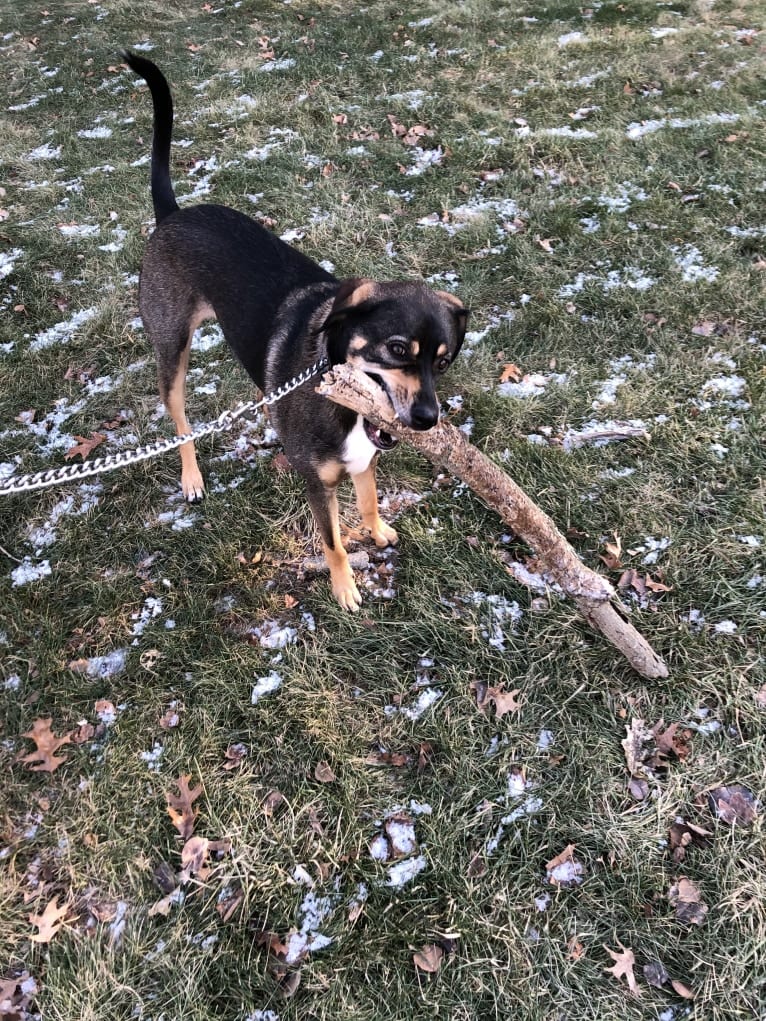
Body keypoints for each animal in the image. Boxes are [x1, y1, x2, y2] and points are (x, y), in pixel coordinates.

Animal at [124, 51, 467, 608]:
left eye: (443, 361)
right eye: (397, 349)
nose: (426, 420)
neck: (345, 406)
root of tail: (173, 214)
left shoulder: (366, 460)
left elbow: (369, 501)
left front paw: (378, 532)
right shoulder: (318, 485)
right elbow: (333, 542)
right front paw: (345, 589)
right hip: (170, 346)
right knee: (179, 419)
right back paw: (191, 476)